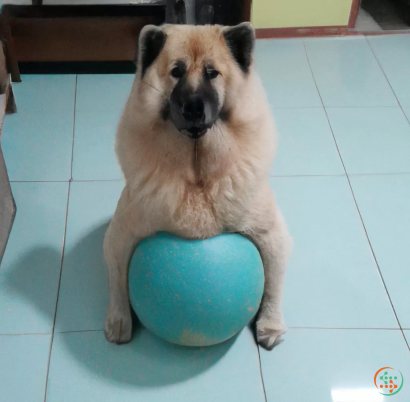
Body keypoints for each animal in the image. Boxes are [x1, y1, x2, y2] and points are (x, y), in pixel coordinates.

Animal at [104, 22, 294, 350]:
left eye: (212, 73)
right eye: (176, 72)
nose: (193, 107)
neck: (196, 175)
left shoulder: (271, 236)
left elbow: (272, 286)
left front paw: (270, 325)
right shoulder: (120, 236)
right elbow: (117, 282)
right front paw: (119, 321)